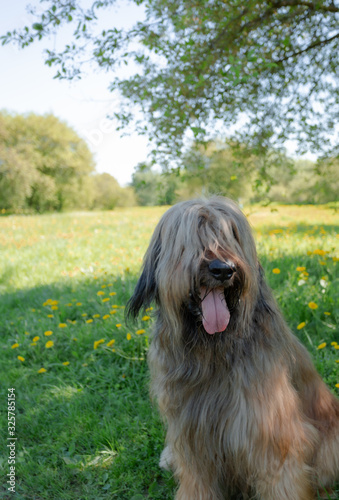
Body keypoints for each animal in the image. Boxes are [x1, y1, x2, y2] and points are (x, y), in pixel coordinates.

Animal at [127, 196, 339, 500]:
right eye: (194, 236)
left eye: (233, 234)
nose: (224, 269)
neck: (213, 349)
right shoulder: (191, 435)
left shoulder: (270, 433)